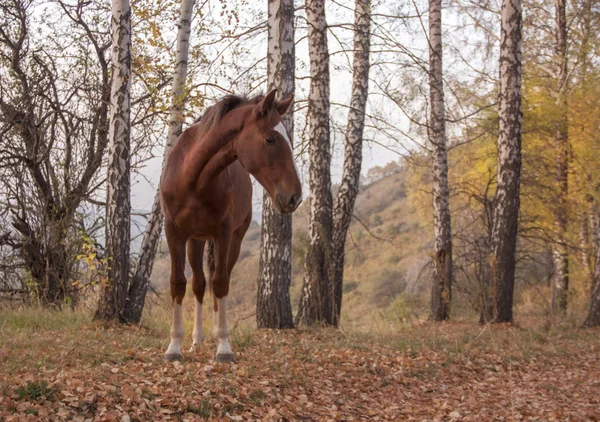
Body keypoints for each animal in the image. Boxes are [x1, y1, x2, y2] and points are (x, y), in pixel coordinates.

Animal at [161, 90, 302, 362]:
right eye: (270, 139)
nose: (295, 197)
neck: (193, 178)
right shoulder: (174, 232)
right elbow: (178, 283)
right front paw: (173, 347)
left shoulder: (224, 233)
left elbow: (221, 283)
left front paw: (224, 347)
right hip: (195, 240)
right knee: (198, 284)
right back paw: (196, 340)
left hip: (232, 239)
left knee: (218, 279)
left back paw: (215, 335)